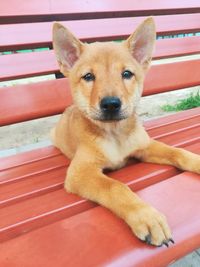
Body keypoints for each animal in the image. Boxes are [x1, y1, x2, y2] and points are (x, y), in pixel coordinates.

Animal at [51, 18, 200, 249]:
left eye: (127, 74)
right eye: (88, 76)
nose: (111, 104)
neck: (115, 134)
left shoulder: (145, 146)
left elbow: (177, 152)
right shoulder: (80, 172)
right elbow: (115, 187)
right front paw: (147, 217)